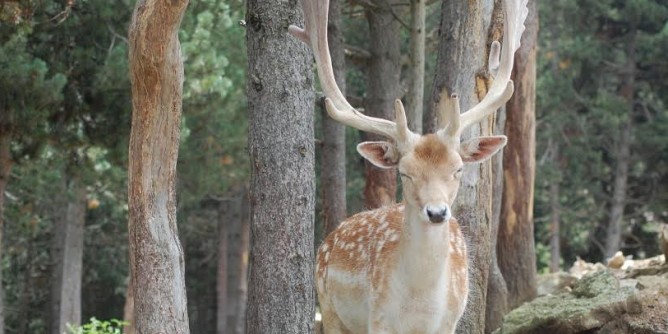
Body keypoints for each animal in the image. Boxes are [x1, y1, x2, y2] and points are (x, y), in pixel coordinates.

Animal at [290, 1, 528, 332]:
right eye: (405, 173)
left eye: (457, 169)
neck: (419, 307)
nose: (437, 212)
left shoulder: (448, 322)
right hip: (330, 309)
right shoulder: (377, 319)